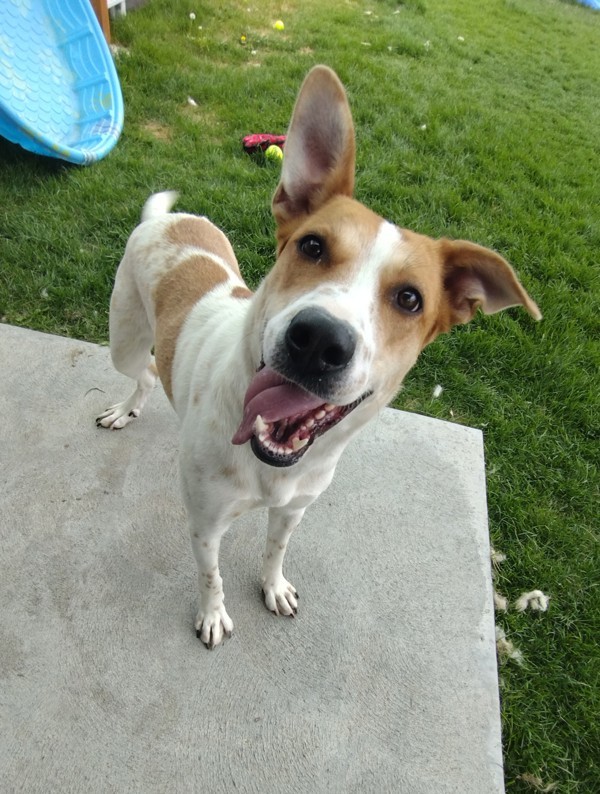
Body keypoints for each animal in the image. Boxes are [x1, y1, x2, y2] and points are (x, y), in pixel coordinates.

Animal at [96, 65, 540, 648]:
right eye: (311, 246)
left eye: (410, 299)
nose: (320, 340)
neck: (270, 462)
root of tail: (166, 220)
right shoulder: (205, 523)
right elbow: (210, 575)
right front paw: (213, 614)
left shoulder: (293, 510)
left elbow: (275, 549)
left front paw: (273, 586)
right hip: (123, 341)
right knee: (145, 372)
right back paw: (127, 408)